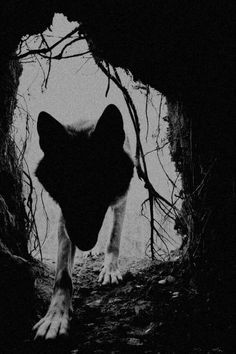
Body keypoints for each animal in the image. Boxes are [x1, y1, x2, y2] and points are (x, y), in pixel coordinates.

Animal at [32, 104, 135, 340]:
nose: (83, 241)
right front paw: (56, 317)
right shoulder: (64, 219)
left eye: (98, 189)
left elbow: (114, 237)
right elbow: (62, 275)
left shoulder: (121, 199)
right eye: (65, 190)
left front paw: (110, 269)